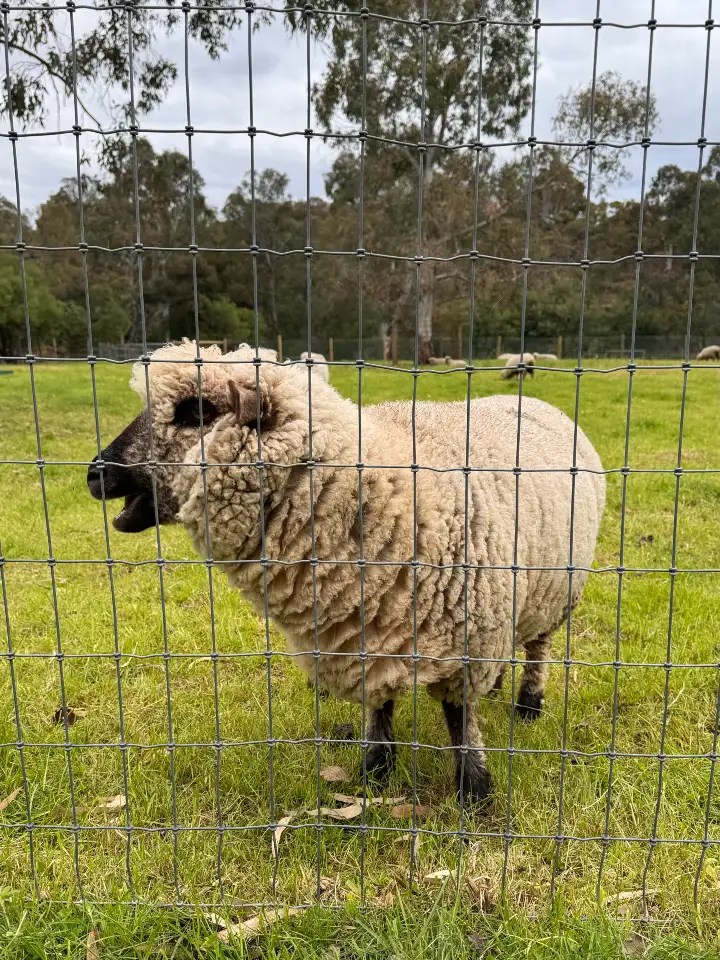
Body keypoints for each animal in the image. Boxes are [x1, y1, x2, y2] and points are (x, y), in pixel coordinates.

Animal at [87, 339, 605, 806]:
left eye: (194, 411)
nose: (95, 474)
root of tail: (532, 400)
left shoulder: (469, 639)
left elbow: (461, 720)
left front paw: (475, 791)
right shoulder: (363, 631)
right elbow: (379, 706)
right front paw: (375, 773)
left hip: (558, 589)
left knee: (538, 648)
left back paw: (528, 703)